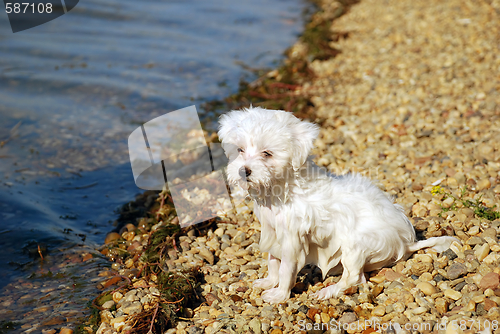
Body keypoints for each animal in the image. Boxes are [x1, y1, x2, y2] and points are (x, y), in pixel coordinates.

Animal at [218, 106, 458, 302]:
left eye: (267, 153)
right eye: (240, 150)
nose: (244, 170)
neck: (282, 190)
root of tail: (405, 243)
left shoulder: (292, 240)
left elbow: (286, 268)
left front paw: (279, 294)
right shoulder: (272, 231)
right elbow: (273, 261)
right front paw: (269, 282)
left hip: (356, 243)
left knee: (355, 278)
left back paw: (329, 290)